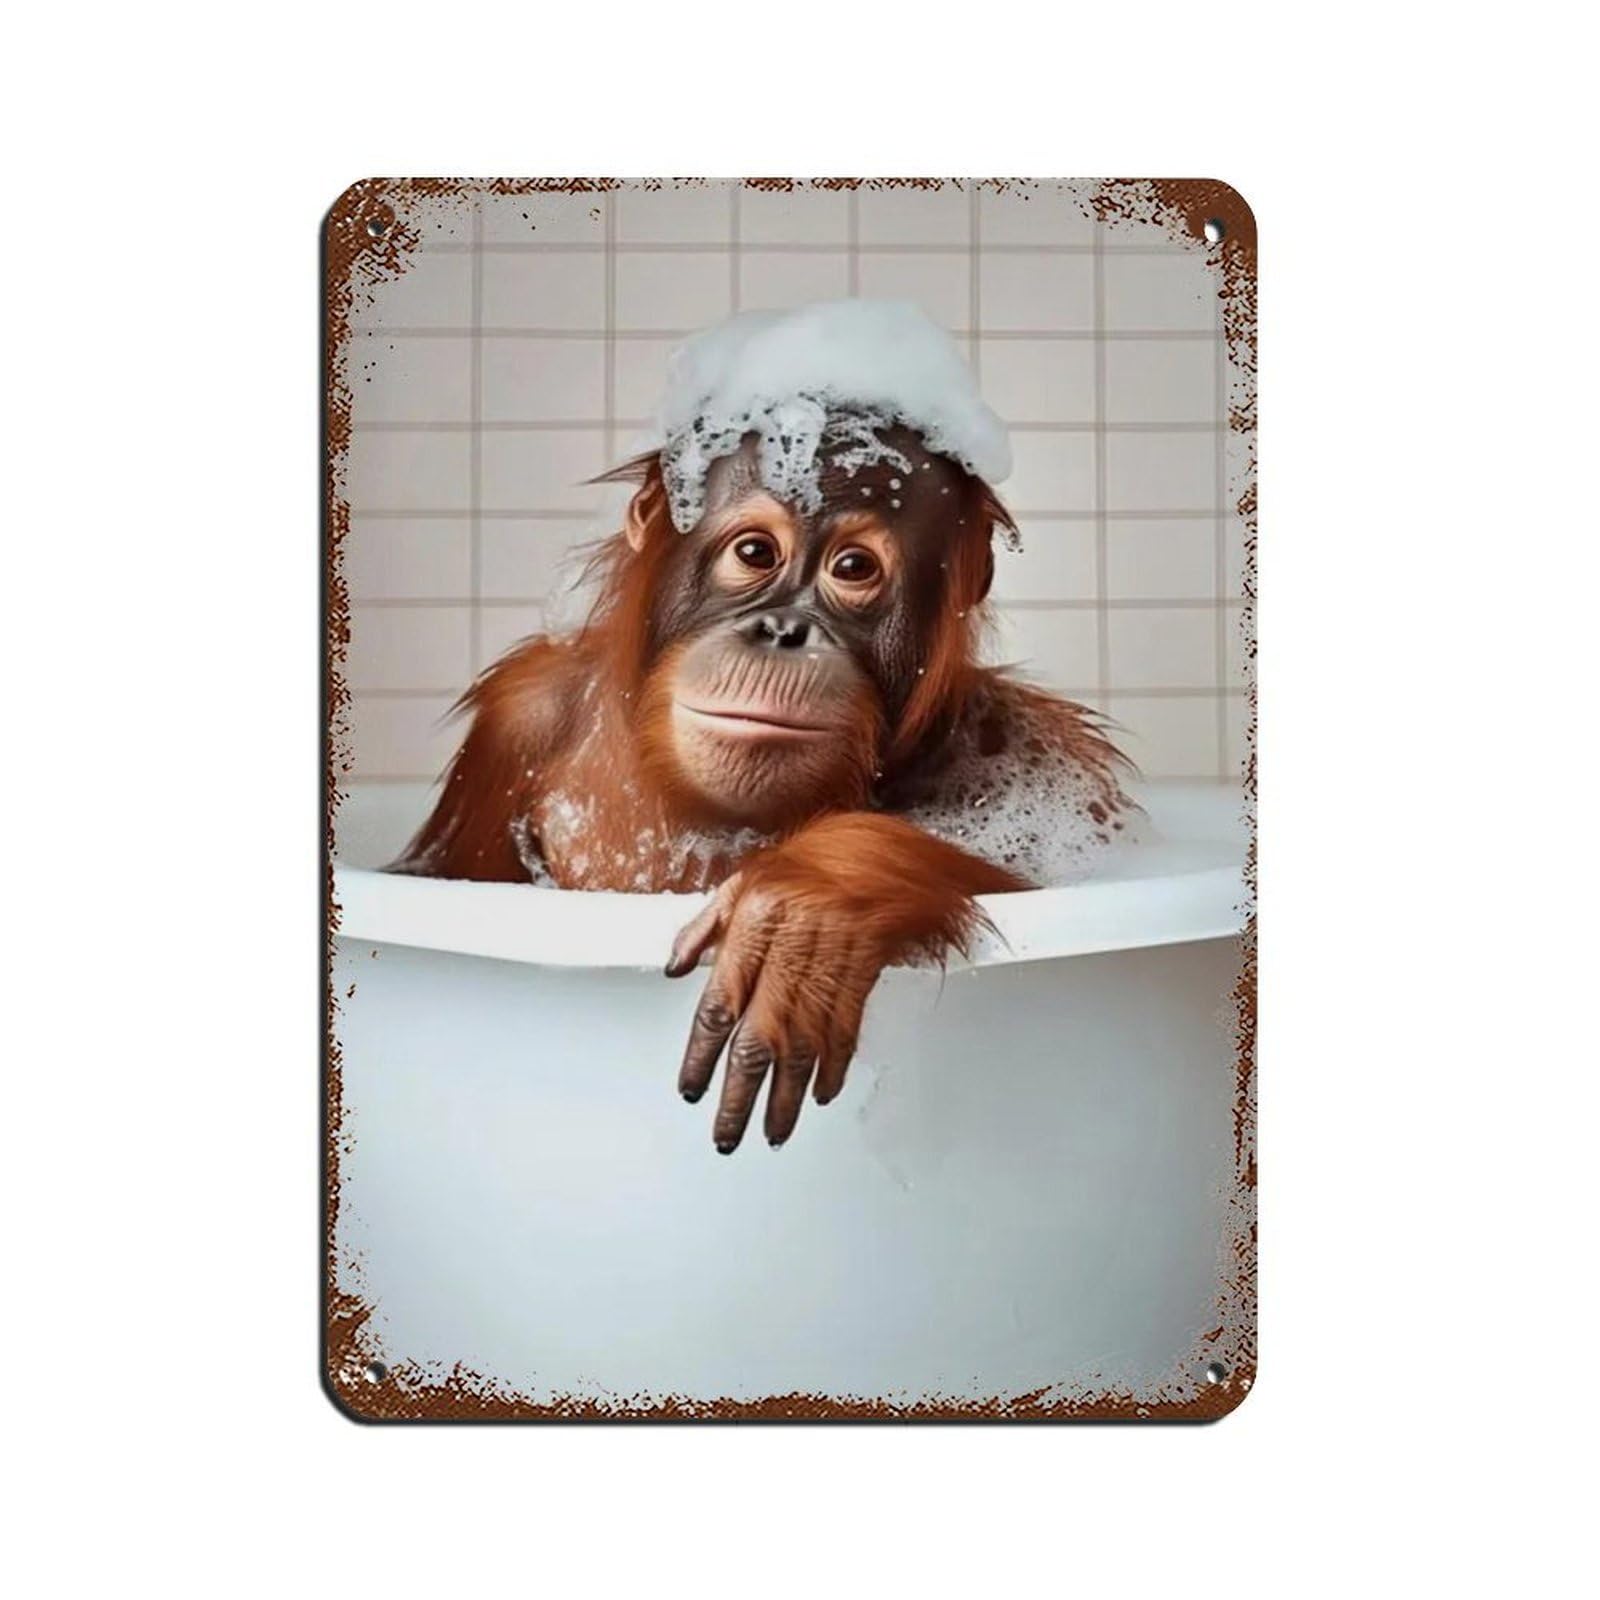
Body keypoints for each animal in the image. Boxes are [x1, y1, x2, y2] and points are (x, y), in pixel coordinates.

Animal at [395, 416, 1134, 1152]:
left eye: (854, 568)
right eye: (755, 553)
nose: (782, 629)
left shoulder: (1032, 753)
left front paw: (809, 904)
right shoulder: (519, 718)